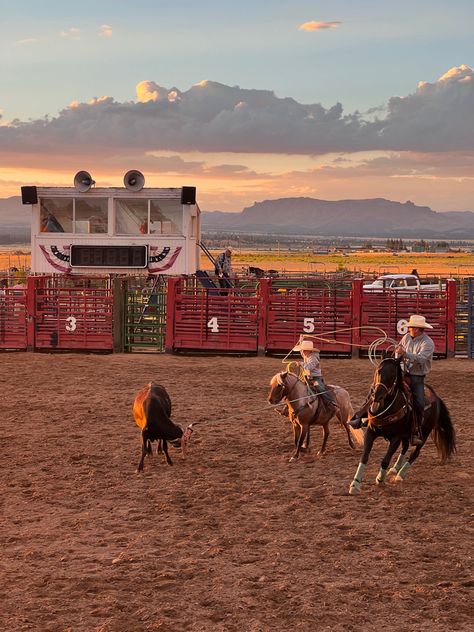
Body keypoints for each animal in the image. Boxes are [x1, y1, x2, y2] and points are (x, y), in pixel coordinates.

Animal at [348, 358, 456, 496]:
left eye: (392, 375)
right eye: (379, 371)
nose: (377, 395)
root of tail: (437, 399)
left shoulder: (396, 437)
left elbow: (385, 460)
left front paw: (380, 479)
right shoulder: (371, 433)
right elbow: (364, 457)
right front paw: (355, 484)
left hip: (424, 433)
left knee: (415, 453)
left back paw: (400, 474)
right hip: (406, 434)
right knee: (405, 447)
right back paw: (395, 468)